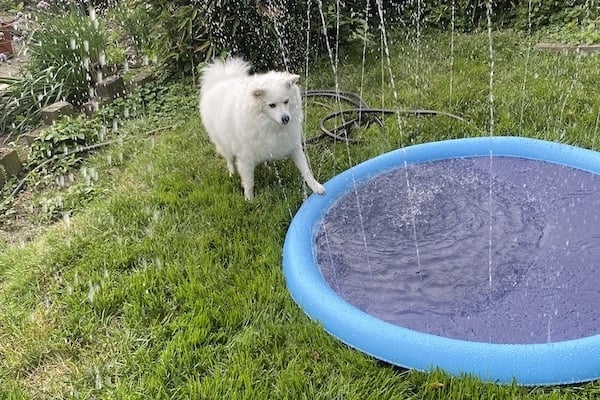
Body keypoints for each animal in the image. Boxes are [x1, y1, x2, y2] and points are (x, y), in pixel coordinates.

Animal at [200, 57, 324, 200]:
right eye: (272, 105)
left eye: (286, 101)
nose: (286, 118)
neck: (269, 124)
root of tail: (221, 80)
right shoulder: (245, 158)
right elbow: (249, 182)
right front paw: (249, 200)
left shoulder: (292, 145)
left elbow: (306, 169)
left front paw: (316, 186)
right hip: (223, 143)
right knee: (229, 159)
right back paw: (232, 173)